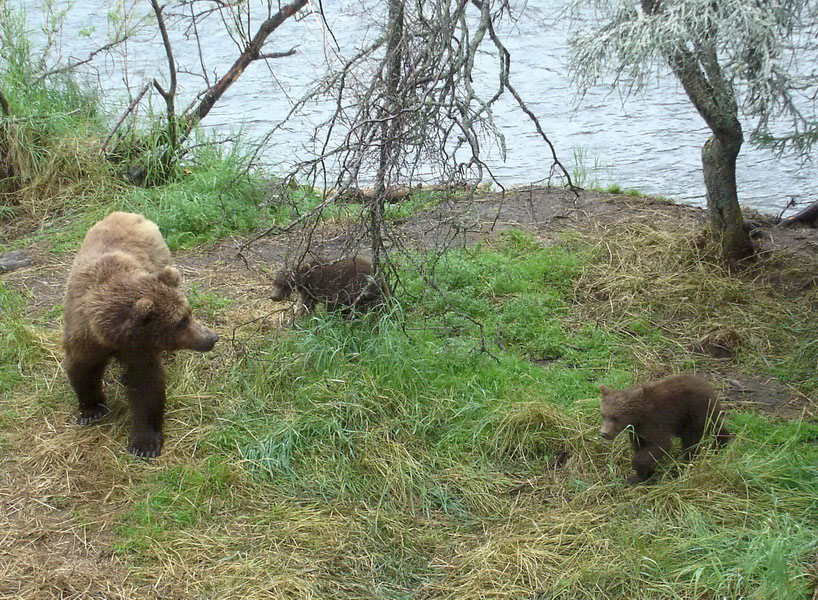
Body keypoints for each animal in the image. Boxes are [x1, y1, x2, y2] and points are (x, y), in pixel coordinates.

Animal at [63, 213, 217, 458]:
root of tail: (124, 213)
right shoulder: (84, 335)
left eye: (188, 313)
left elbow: (146, 386)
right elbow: (82, 368)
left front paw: (145, 444)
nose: (211, 338)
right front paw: (91, 410)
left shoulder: (140, 349)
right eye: (181, 321)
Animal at [596, 376, 728, 482]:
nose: (603, 433)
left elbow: (662, 445)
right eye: (603, 414)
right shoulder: (636, 431)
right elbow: (639, 446)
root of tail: (710, 387)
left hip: (694, 413)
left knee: (692, 440)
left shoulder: (654, 423)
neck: (637, 418)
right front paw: (642, 475)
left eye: (615, 417)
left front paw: (635, 473)